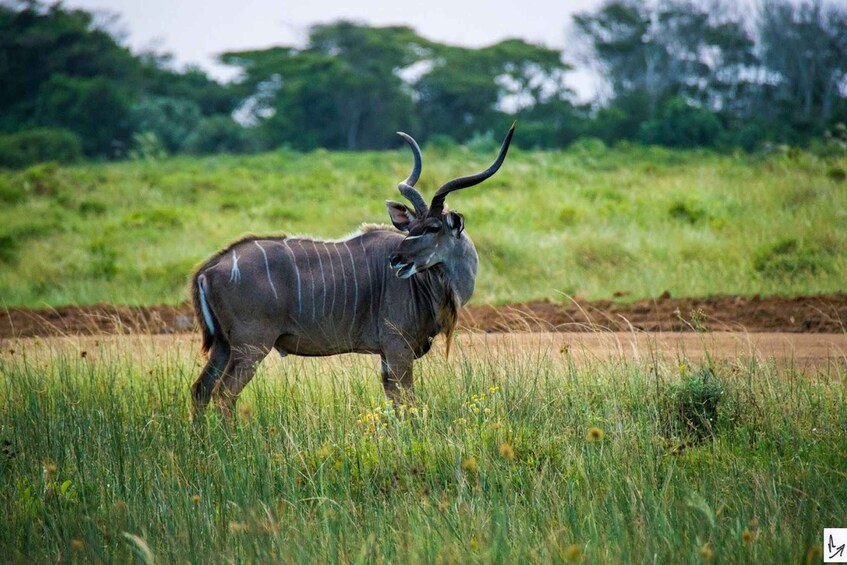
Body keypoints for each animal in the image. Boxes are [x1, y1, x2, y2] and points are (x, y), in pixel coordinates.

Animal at [190, 124, 515, 418]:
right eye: (412, 227)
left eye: (433, 227)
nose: (396, 260)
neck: (427, 285)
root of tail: (210, 268)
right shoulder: (397, 348)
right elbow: (406, 403)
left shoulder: (387, 355)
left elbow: (395, 402)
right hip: (251, 346)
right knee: (223, 395)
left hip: (224, 346)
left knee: (200, 391)